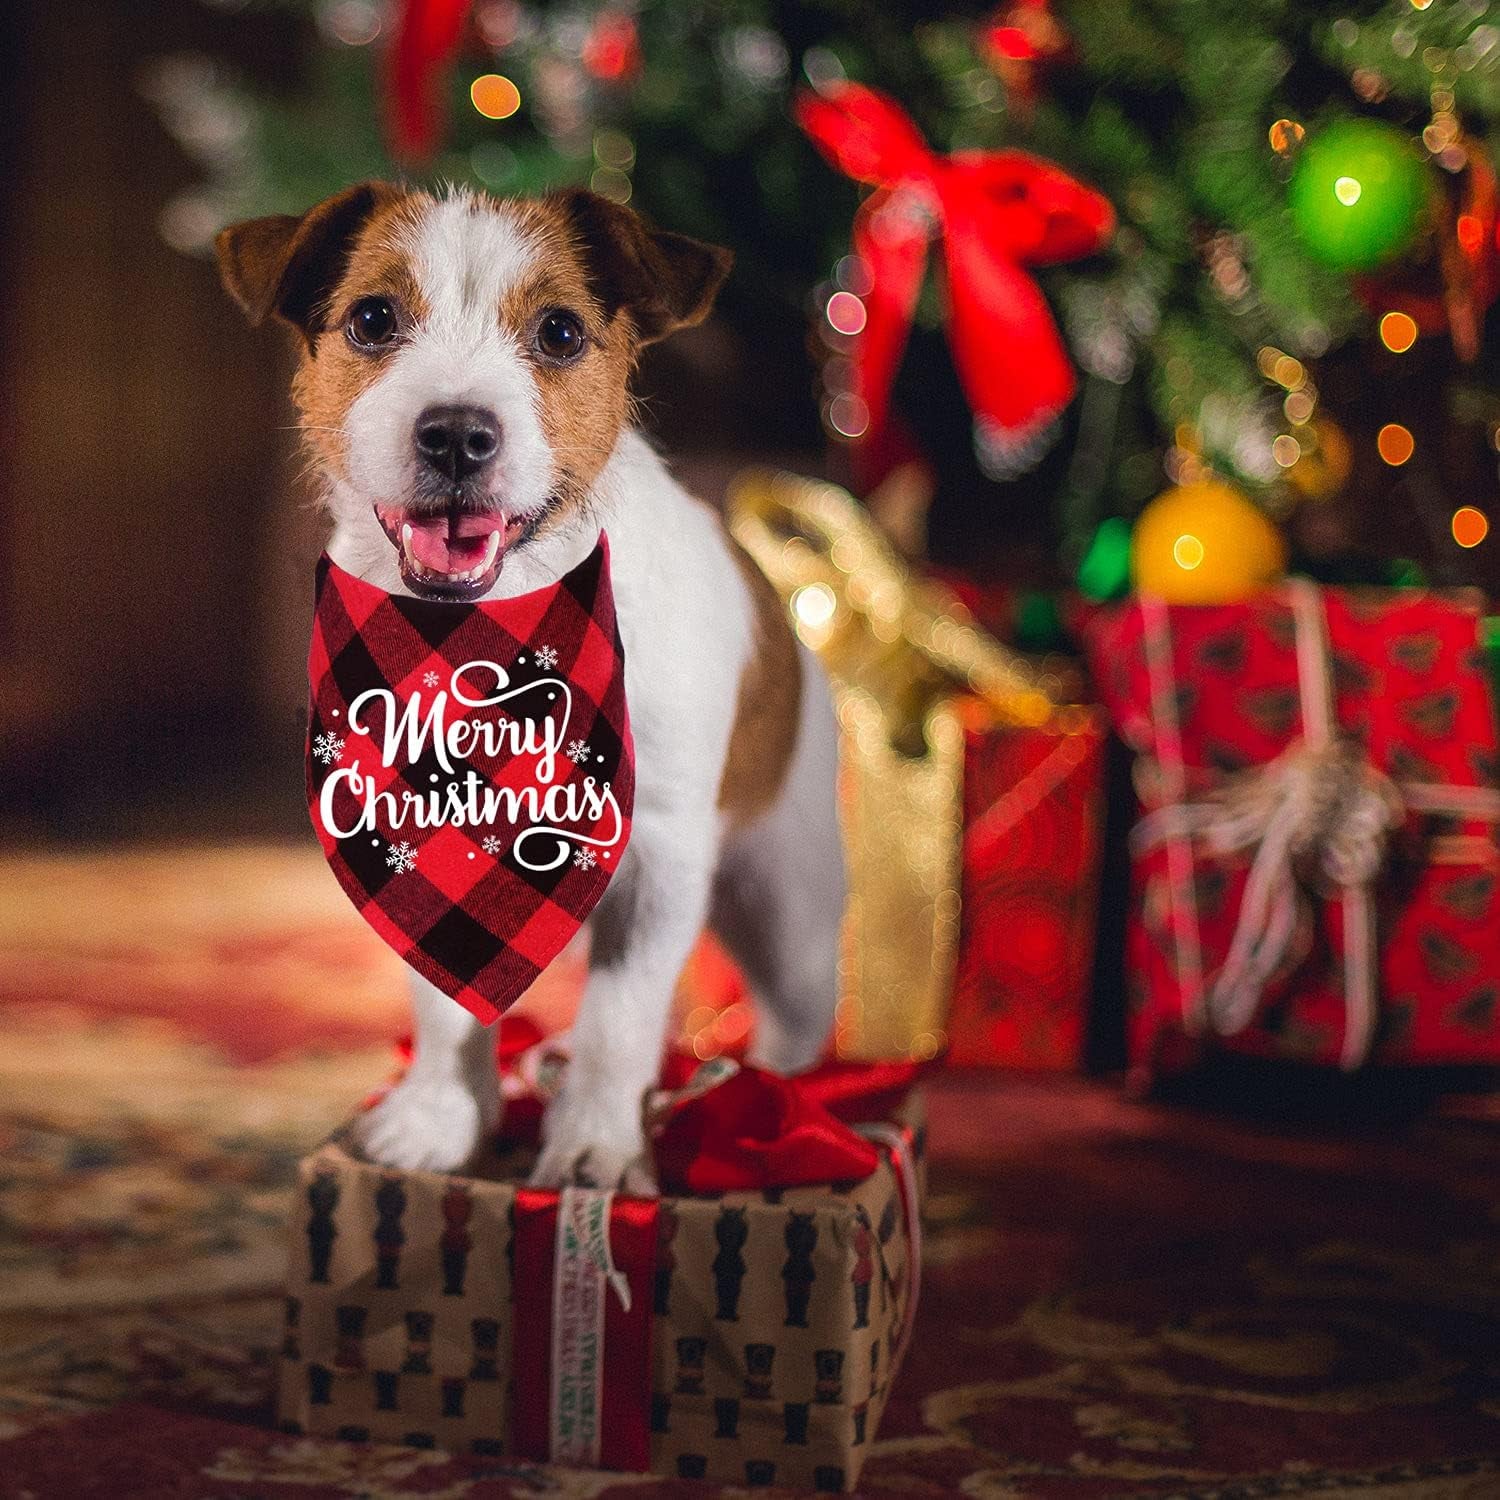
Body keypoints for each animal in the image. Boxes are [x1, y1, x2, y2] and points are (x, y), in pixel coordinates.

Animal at [216, 181, 846, 1188]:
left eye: (559, 332)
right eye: (372, 318)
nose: (457, 434)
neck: (489, 636)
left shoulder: (658, 853)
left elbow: (618, 1021)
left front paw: (595, 1143)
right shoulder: (419, 843)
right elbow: (444, 1002)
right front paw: (441, 1120)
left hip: (787, 904)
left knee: (795, 1016)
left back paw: (779, 1109)